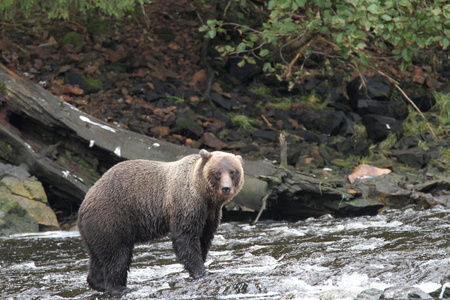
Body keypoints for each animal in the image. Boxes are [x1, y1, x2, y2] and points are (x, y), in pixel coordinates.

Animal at [78, 149, 246, 296]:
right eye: (217, 172)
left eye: (233, 172)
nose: (226, 188)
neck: (204, 195)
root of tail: (83, 205)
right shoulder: (187, 204)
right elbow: (185, 238)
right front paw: (200, 270)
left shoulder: (211, 213)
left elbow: (204, 238)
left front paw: (203, 262)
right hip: (112, 219)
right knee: (118, 255)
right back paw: (120, 288)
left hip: (96, 230)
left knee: (98, 257)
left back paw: (97, 283)